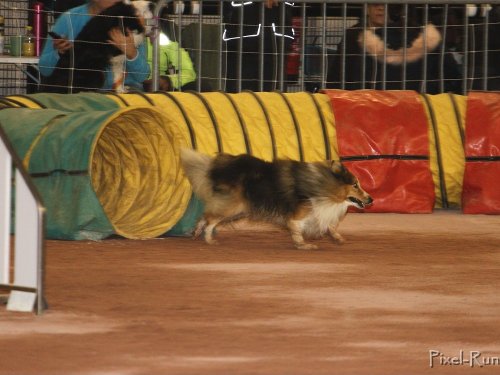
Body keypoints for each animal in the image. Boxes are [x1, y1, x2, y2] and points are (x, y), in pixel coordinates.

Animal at [180, 149, 372, 250]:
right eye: (355, 185)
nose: (371, 199)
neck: (324, 185)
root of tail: (217, 168)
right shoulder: (297, 215)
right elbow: (296, 229)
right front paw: (303, 245)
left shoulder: (318, 211)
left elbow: (329, 225)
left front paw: (338, 239)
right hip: (233, 206)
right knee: (210, 218)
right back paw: (208, 239)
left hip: (237, 208)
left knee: (207, 216)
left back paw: (197, 233)